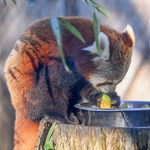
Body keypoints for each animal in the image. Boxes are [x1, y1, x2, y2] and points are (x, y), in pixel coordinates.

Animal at [3, 16, 135, 149]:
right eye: (108, 82)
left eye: (118, 82)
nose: (110, 93)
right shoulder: (58, 56)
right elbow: (53, 87)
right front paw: (58, 116)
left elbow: (83, 85)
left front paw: (103, 98)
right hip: (24, 87)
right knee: (35, 98)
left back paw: (76, 113)